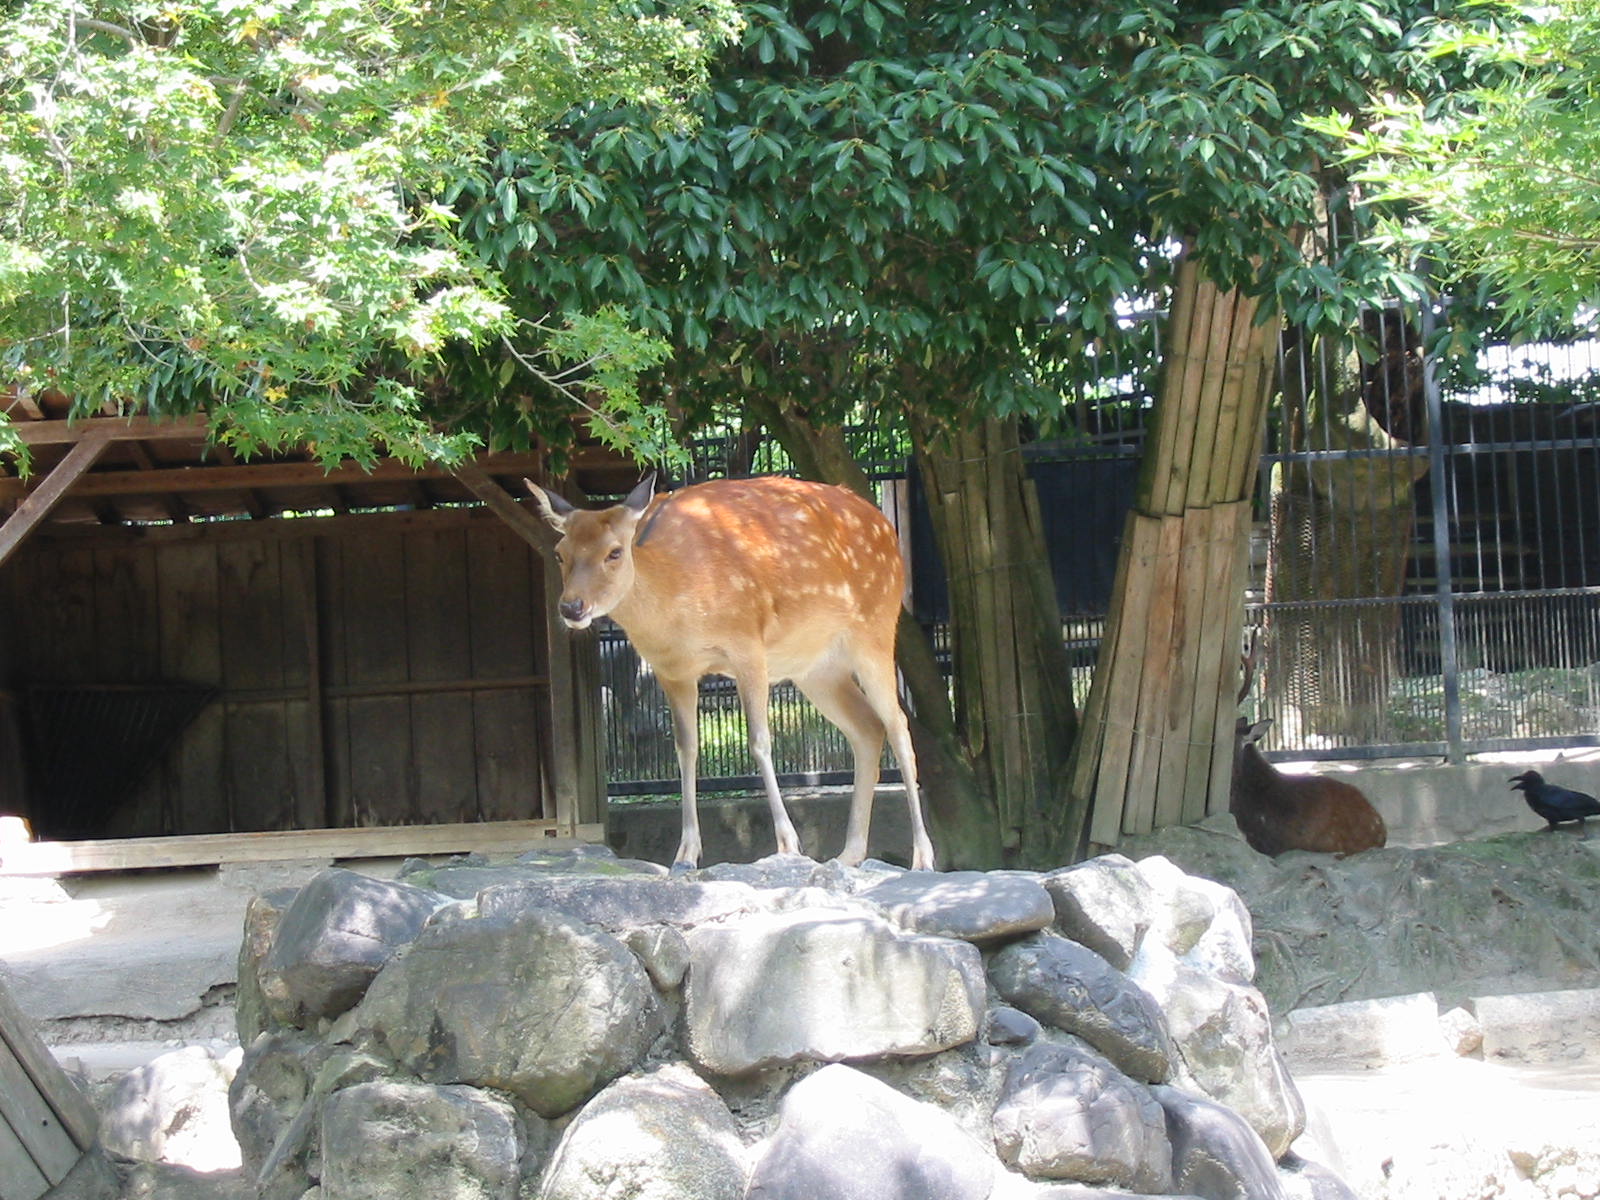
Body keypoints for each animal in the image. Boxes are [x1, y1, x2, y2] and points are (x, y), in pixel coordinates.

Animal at [524, 473, 934, 876]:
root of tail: (887, 529)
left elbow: (759, 741)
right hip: (817, 669)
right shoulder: (672, 670)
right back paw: (848, 855)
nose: (571, 607)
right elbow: (686, 748)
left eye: (614, 552)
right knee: (867, 728)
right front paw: (685, 854)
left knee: (898, 726)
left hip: (877, 629)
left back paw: (922, 858)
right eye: (559, 552)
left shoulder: (747, 645)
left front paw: (788, 845)